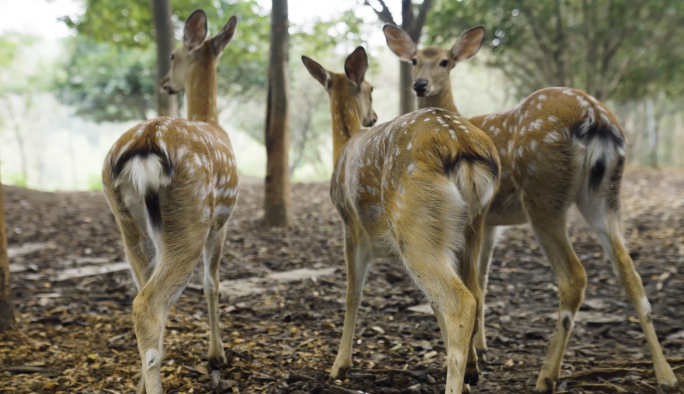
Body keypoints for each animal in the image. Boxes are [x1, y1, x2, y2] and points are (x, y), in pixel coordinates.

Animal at [100, 10, 240, 392]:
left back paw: (139, 383)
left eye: (174, 56)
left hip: (125, 220)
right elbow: (212, 284)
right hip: (190, 218)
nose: (166, 82)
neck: (211, 120)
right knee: (149, 305)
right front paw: (217, 355)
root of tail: (146, 142)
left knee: (140, 292)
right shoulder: (221, 222)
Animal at [304, 47, 502, 394]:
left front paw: (339, 366)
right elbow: (433, 309)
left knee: (460, 302)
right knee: (475, 293)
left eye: (370, 87)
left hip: (414, 225)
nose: (372, 116)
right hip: (471, 227)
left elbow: (352, 294)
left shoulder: (351, 227)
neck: (344, 146)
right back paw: (470, 372)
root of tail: (461, 144)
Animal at [382, 23, 680, 390]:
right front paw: (482, 348)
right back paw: (666, 376)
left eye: (444, 61)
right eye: (414, 60)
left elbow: (476, 282)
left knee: (574, 276)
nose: (420, 84)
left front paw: (476, 357)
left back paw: (546, 377)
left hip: (542, 192)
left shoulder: (485, 218)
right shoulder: (489, 222)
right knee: (629, 272)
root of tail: (595, 118)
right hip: (606, 195)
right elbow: (482, 281)